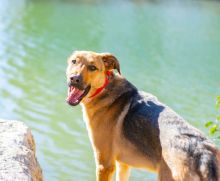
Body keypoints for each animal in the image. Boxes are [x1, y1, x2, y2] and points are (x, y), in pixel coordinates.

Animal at [65, 50, 220, 180]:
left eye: (92, 67)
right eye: (74, 61)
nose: (74, 78)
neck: (104, 88)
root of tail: (203, 154)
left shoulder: (105, 164)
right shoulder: (123, 164)